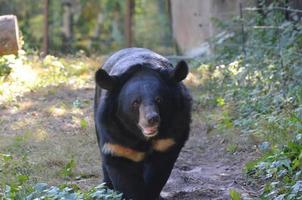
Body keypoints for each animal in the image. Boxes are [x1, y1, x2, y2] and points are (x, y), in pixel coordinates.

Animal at [94, 47, 191, 199]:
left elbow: (158, 170)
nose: (152, 119)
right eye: (135, 102)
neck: (142, 136)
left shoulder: (171, 134)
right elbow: (123, 171)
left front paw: (152, 194)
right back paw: (105, 188)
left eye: (159, 99)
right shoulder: (116, 136)